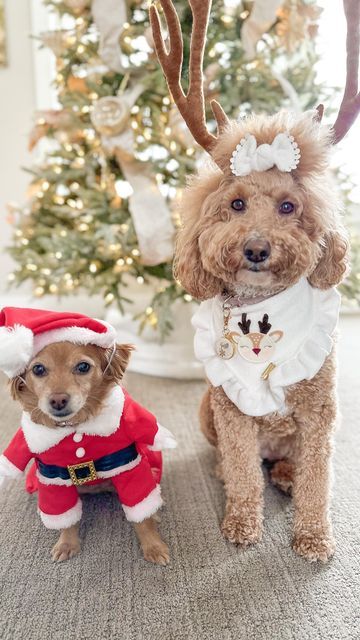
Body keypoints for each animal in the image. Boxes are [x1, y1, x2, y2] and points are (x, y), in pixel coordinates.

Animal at [150, 0, 360, 560]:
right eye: (237, 204)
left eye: (289, 207)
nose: (256, 249)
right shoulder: (232, 413)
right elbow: (245, 473)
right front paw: (242, 523)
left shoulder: (319, 415)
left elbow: (318, 481)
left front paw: (313, 536)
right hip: (206, 408)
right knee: (235, 461)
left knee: (290, 466)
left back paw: (284, 475)